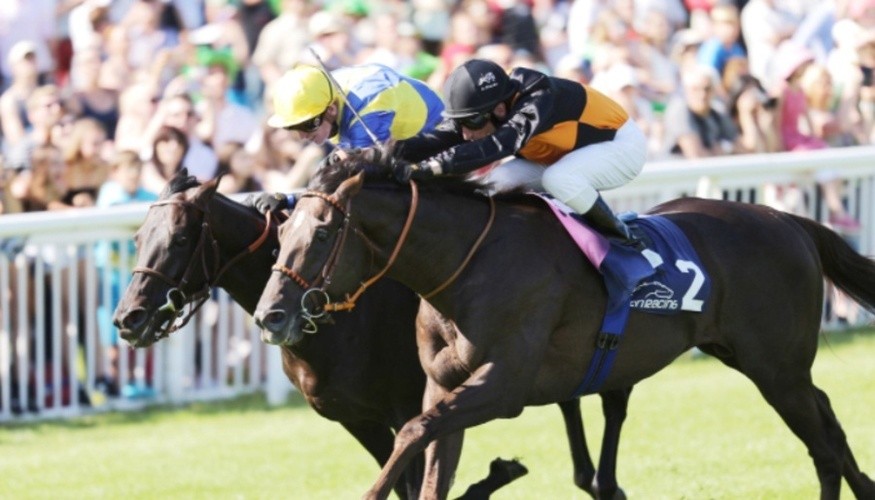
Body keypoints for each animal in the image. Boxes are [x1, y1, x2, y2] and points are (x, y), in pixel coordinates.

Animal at [110, 171, 624, 499]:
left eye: (179, 239)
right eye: (136, 238)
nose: (127, 318)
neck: (337, 323)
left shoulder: (404, 407)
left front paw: (495, 475)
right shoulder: (358, 419)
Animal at [253, 160, 875, 500]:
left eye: (325, 232)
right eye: (281, 233)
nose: (269, 316)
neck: (465, 266)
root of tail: (785, 218)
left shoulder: (504, 386)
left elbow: (412, 433)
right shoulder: (440, 385)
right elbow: (429, 457)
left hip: (775, 367)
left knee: (821, 444)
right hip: (758, 359)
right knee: (827, 419)